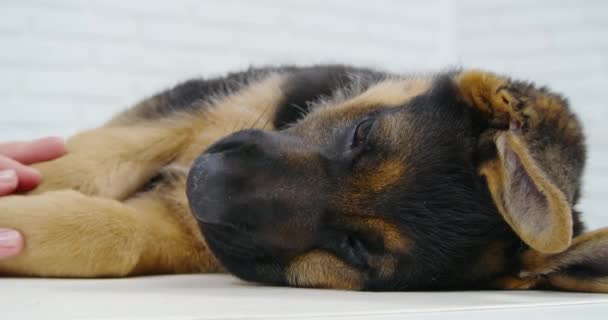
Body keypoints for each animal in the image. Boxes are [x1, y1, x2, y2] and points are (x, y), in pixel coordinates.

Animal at [1, 65, 608, 292]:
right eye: (363, 133)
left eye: (357, 248)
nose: (204, 183)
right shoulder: (200, 106)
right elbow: (93, 157)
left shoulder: (186, 231)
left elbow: (111, 233)